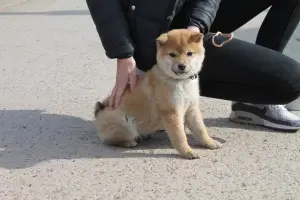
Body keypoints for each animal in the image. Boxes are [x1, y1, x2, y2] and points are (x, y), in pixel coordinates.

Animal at [94, 28, 223, 159]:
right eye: (172, 54)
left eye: (190, 53)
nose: (181, 66)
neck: (180, 82)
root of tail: (99, 112)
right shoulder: (172, 112)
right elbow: (180, 135)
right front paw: (187, 151)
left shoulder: (192, 109)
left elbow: (201, 129)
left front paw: (210, 142)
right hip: (124, 124)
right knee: (111, 139)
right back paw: (130, 142)